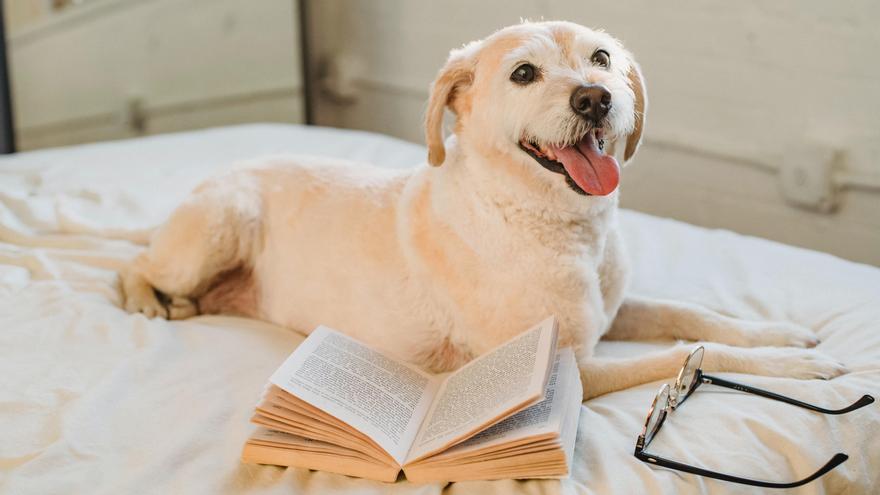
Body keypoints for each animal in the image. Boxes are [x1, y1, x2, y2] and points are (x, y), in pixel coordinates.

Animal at [120, 21, 848, 402]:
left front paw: (779, 334)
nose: (596, 98)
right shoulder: (570, 368)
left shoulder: (615, 312)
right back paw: (149, 298)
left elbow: (692, 317)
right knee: (134, 263)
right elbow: (684, 356)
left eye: (602, 58)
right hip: (220, 224)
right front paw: (794, 370)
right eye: (524, 74)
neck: (558, 226)